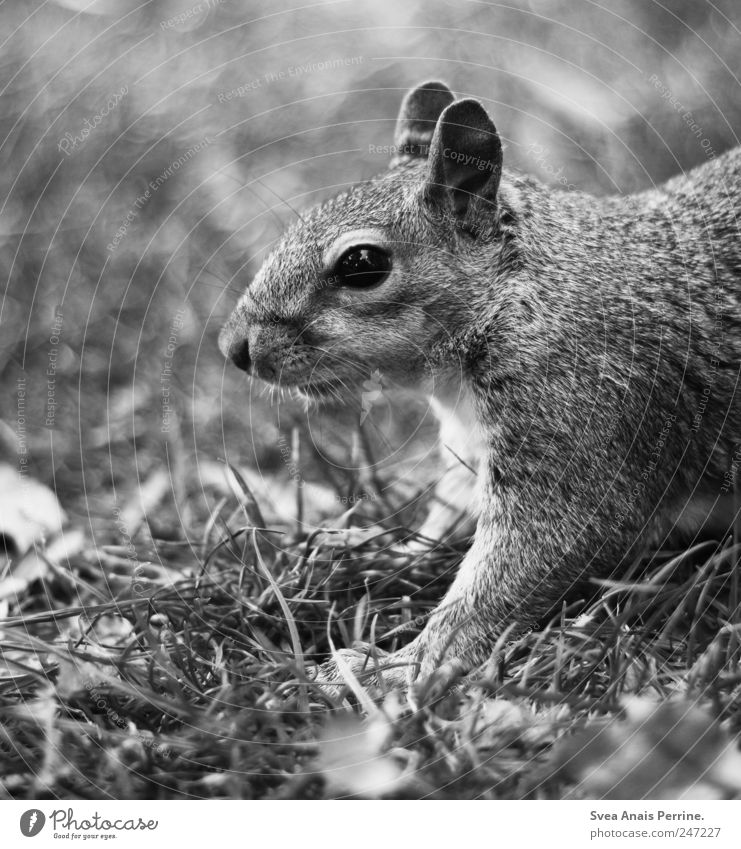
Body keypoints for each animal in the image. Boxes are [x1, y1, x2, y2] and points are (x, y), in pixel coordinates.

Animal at [220, 79, 740, 688]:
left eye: (362, 264)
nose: (234, 348)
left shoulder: (580, 409)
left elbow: (527, 561)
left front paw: (396, 668)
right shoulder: (469, 448)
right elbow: (446, 519)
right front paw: (365, 554)